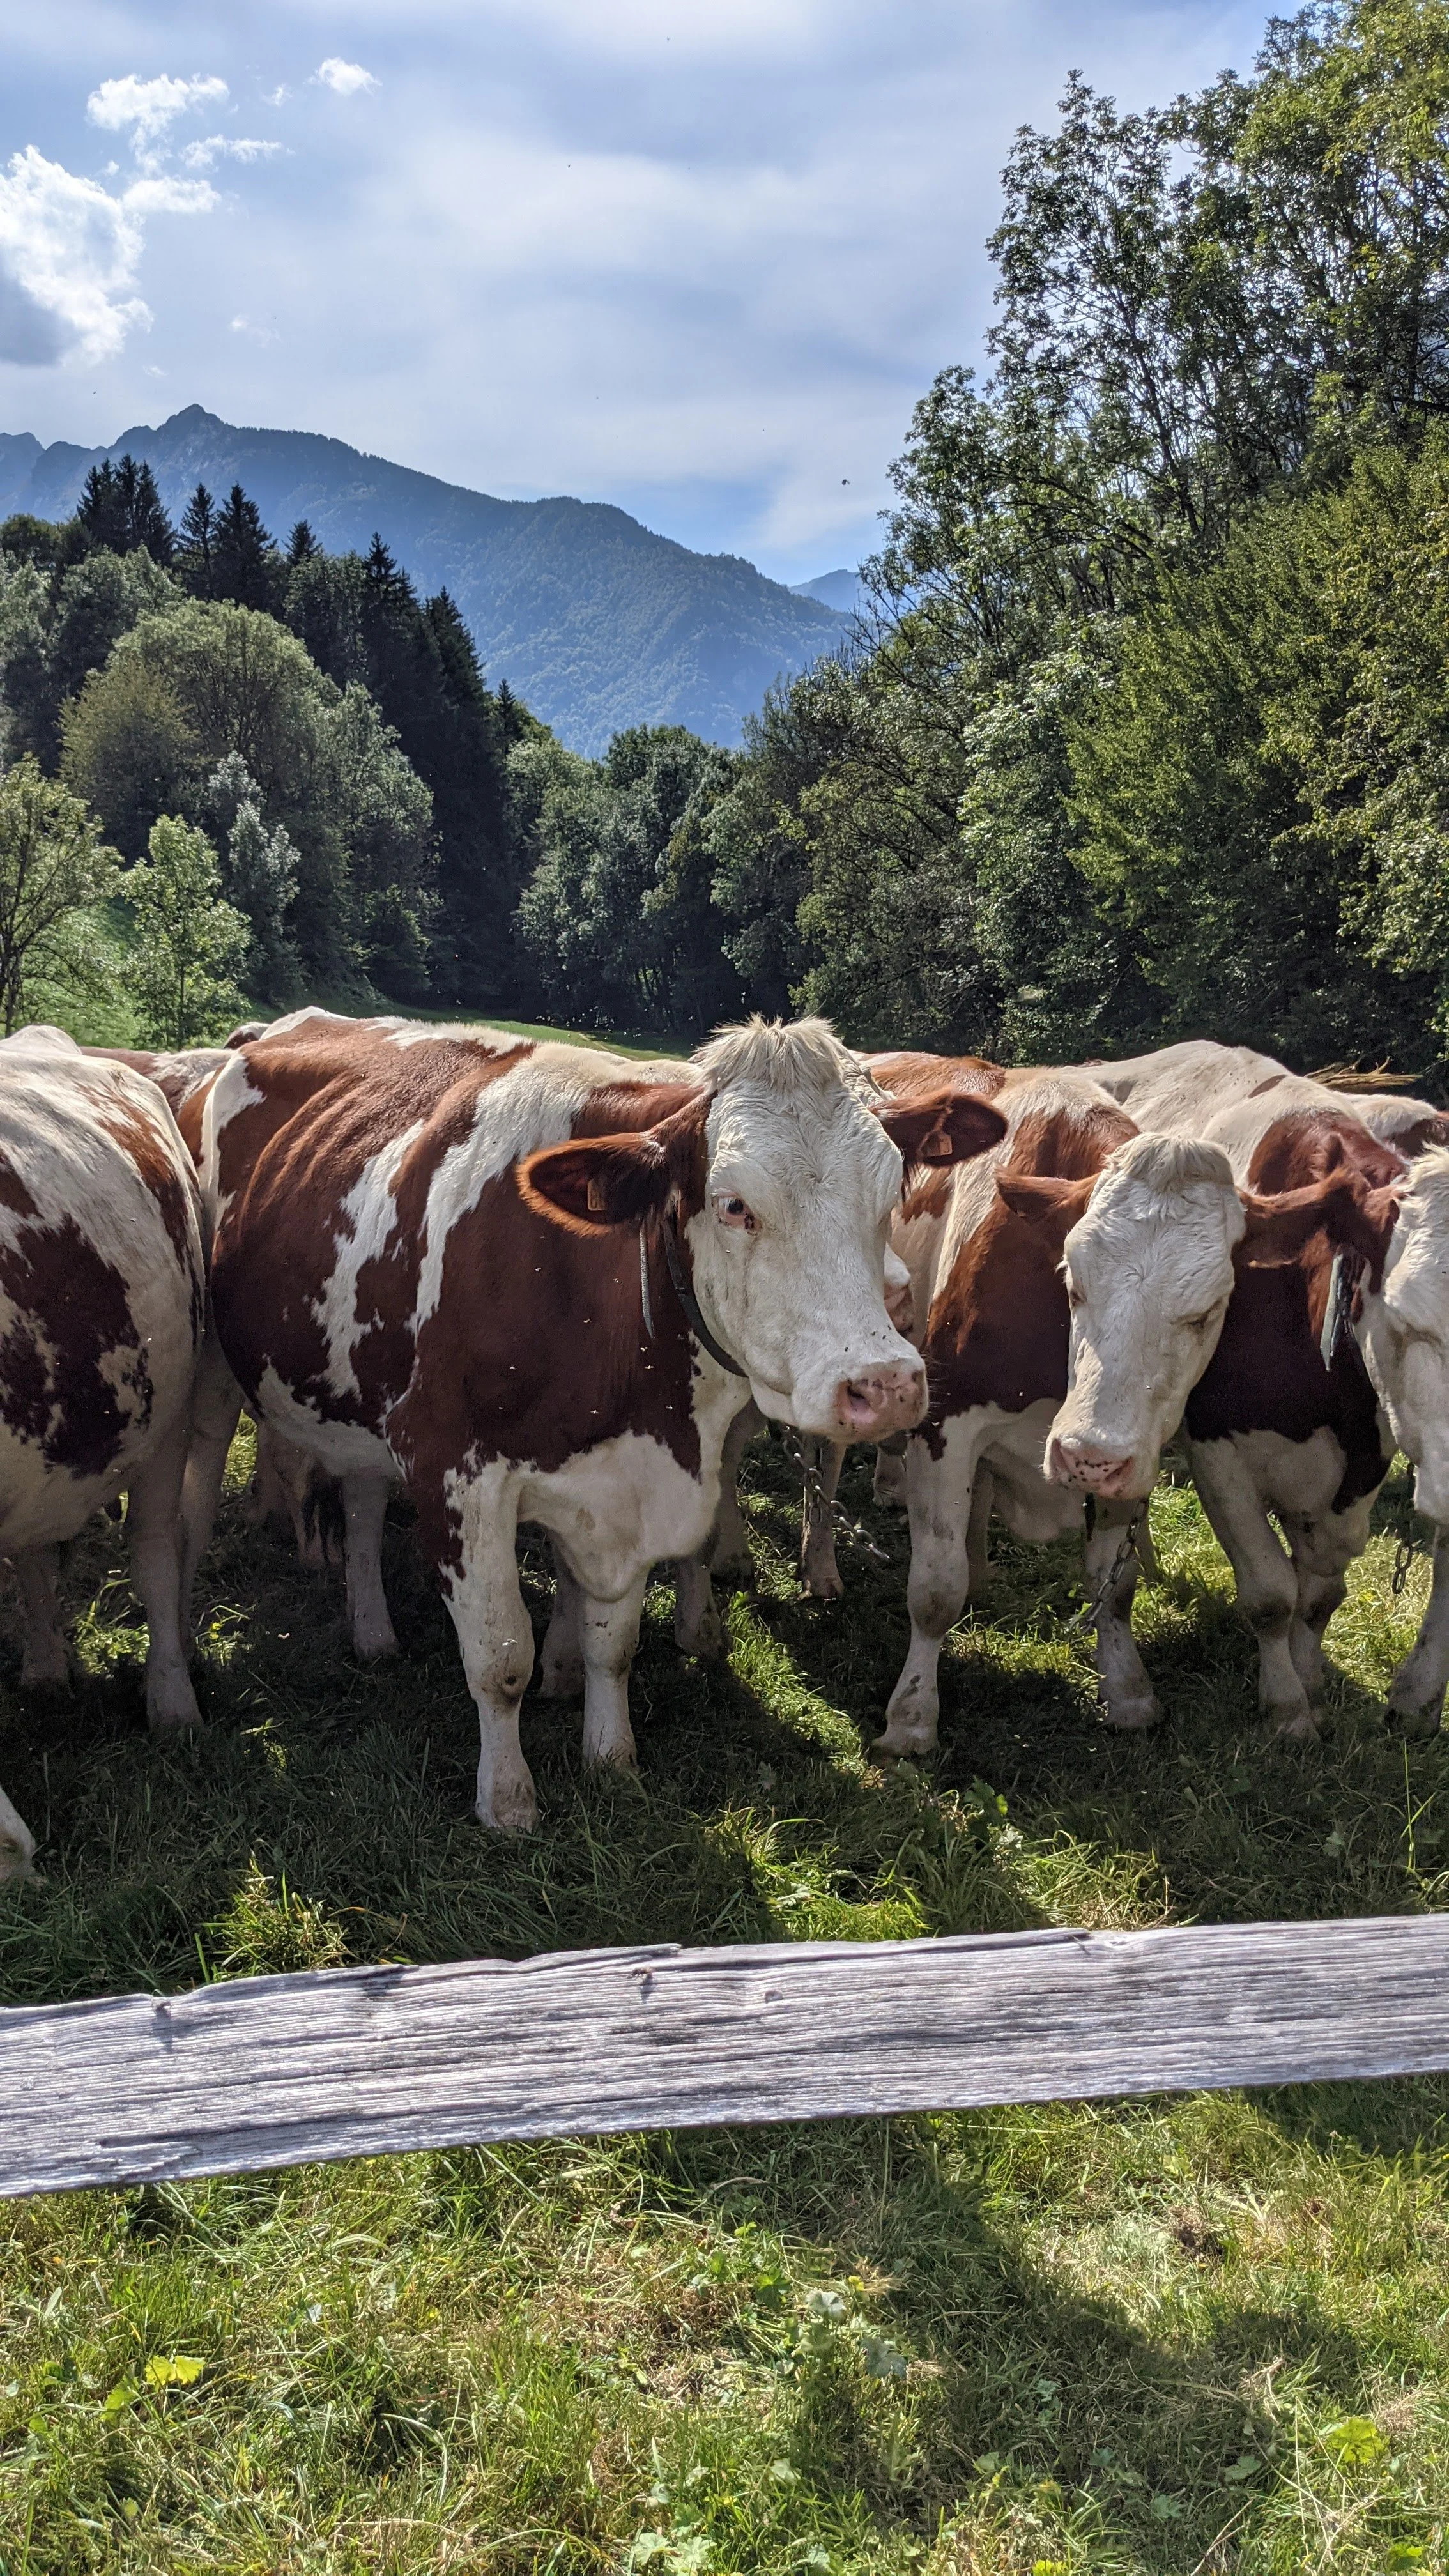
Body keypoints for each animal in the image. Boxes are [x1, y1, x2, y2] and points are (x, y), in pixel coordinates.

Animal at [177, 1011, 1007, 1828]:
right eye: (734, 1205)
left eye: (890, 1194)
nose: (885, 1383)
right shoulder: (454, 1469)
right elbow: (499, 1655)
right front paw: (508, 1798)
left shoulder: (624, 1486)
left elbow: (616, 1643)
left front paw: (610, 1756)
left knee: (361, 1496)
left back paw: (374, 1631)